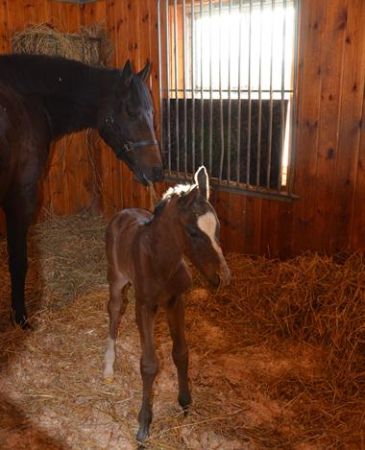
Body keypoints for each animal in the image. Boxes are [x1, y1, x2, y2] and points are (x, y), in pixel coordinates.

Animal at [0, 52, 162, 328]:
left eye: (151, 112)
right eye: (130, 112)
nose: (156, 171)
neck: (28, 100)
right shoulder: (20, 196)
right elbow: (18, 262)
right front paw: (21, 318)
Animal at [102, 166, 229, 442]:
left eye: (217, 228)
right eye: (193, 232)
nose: (223, 277)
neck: (162, 261)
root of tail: (123, 212)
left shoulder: (175, 301)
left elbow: (180, 352)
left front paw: (185, 401)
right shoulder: (145, 306)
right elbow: (149, 365)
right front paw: (144, 424)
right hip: (116, 279)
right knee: (115, 309)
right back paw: (108, 366)